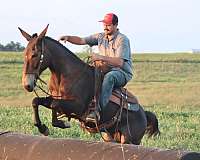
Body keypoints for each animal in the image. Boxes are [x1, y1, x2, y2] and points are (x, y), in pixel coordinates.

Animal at [18, 24, 159, 144]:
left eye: (35, 54)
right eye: (24, 54)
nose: (27, 84)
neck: (66, 75)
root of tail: (144, 114)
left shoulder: (78, 106)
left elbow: (54, 104)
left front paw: (60, 123)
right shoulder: (56, 98)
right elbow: (37, 101)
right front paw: (44, 127)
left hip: (130, 140)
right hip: (110, 136)